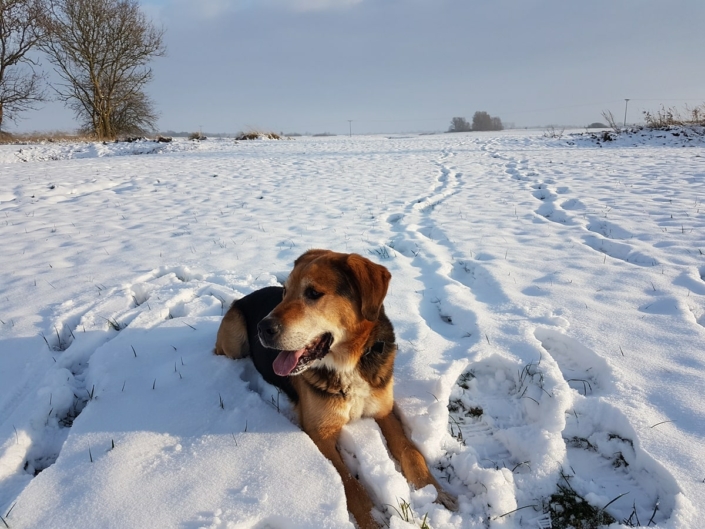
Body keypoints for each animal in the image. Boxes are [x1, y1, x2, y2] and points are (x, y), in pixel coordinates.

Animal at [214, 250, 456, 524]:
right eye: (285, 292)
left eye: (313, 293)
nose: (262, 328)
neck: (348, 364)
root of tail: (244, 297)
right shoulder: (321, 432)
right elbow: (348, 481)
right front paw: (371, 520)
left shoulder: (384, 410)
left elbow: (410, 450)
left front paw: (434, 491)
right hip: (234, 342)